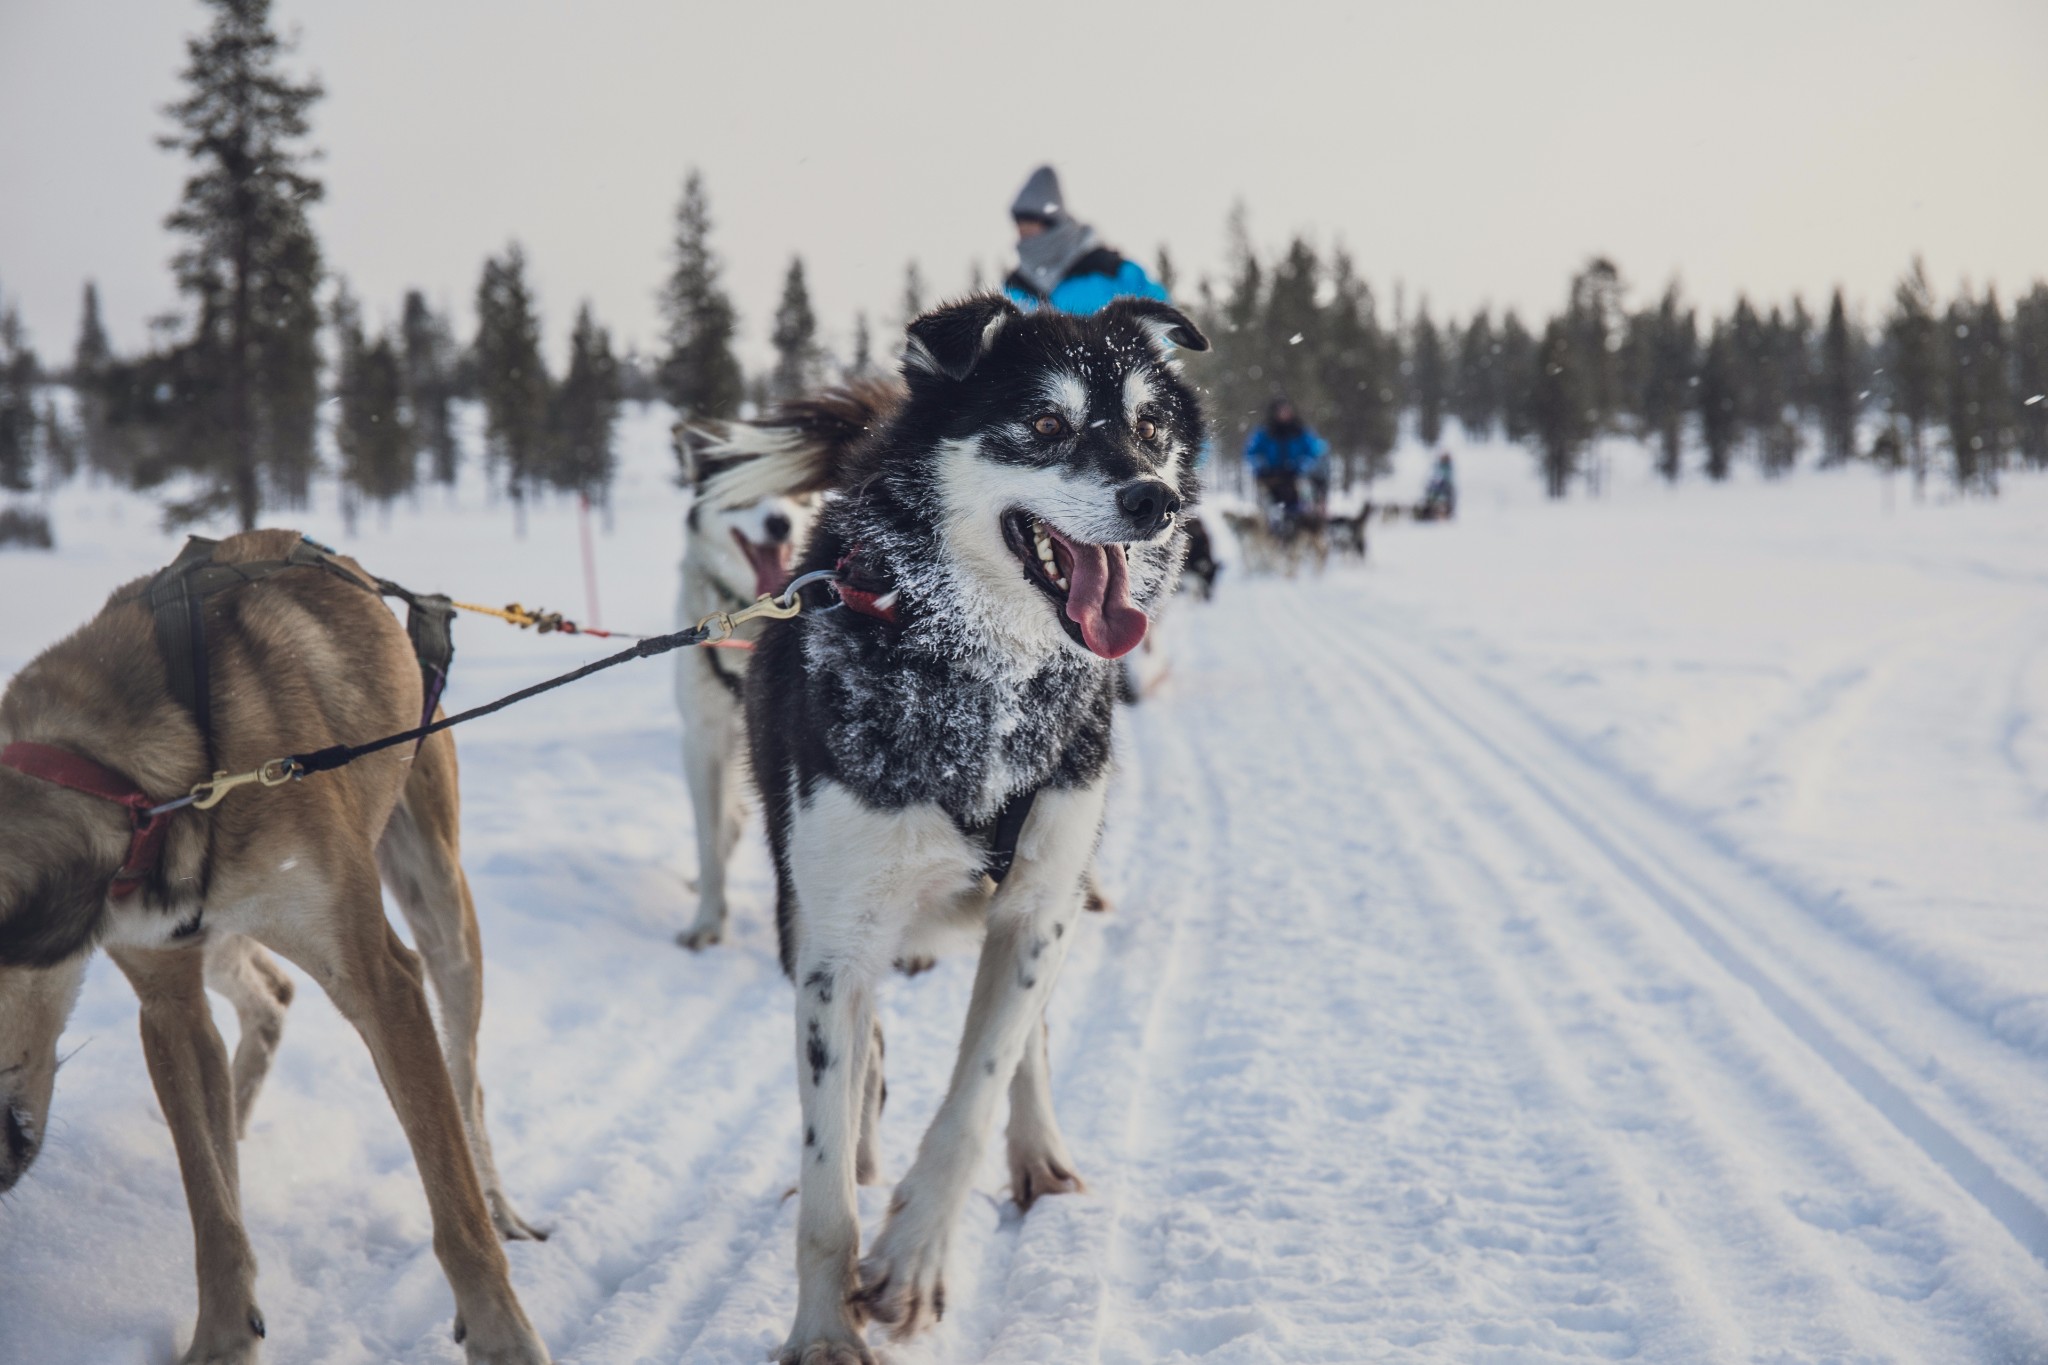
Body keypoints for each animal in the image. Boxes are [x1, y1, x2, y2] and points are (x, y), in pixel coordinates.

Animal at [0, 532, 544, 1365]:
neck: (141, 786)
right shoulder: (168, 1002)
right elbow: (214, 1211)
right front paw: (223, 1338)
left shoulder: (378, 977)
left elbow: (451, 1200)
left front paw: (501, 1334)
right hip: (225, 940)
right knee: (269, 998)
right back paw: (239, 1110)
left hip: (439, 904)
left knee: (466, 1082)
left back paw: (500, 1201)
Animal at [671, 392, 897, 949]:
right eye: (742, 493)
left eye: (797, 497)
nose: (779, 524)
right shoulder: (704, 738)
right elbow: (709, 839)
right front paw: (707, 920)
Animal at [749, 294, 1196, 1358]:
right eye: (1044, 422)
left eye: (1150, 425)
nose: (1155, 499)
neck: (982, 683)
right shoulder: (832, 946)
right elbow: (826, 1179)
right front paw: (823, 1327)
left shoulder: (1038, 906)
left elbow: (977, 1089)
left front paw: (913, 1260)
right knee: (863, 1067)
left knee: (1022, 1046)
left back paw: (1038, 1153)